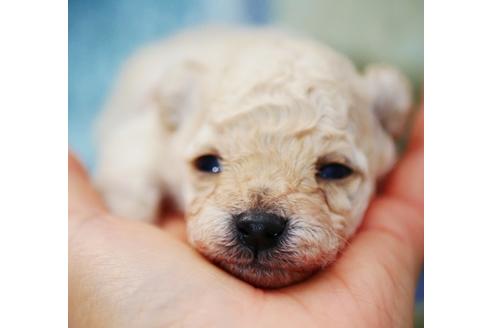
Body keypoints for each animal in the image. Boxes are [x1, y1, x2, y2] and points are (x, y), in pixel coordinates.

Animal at [93, 28, 412, 290]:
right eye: (206, 163)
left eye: (336, 170)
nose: (258, 228)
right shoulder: (142, 136)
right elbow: (131, 180)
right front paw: (132, 214)